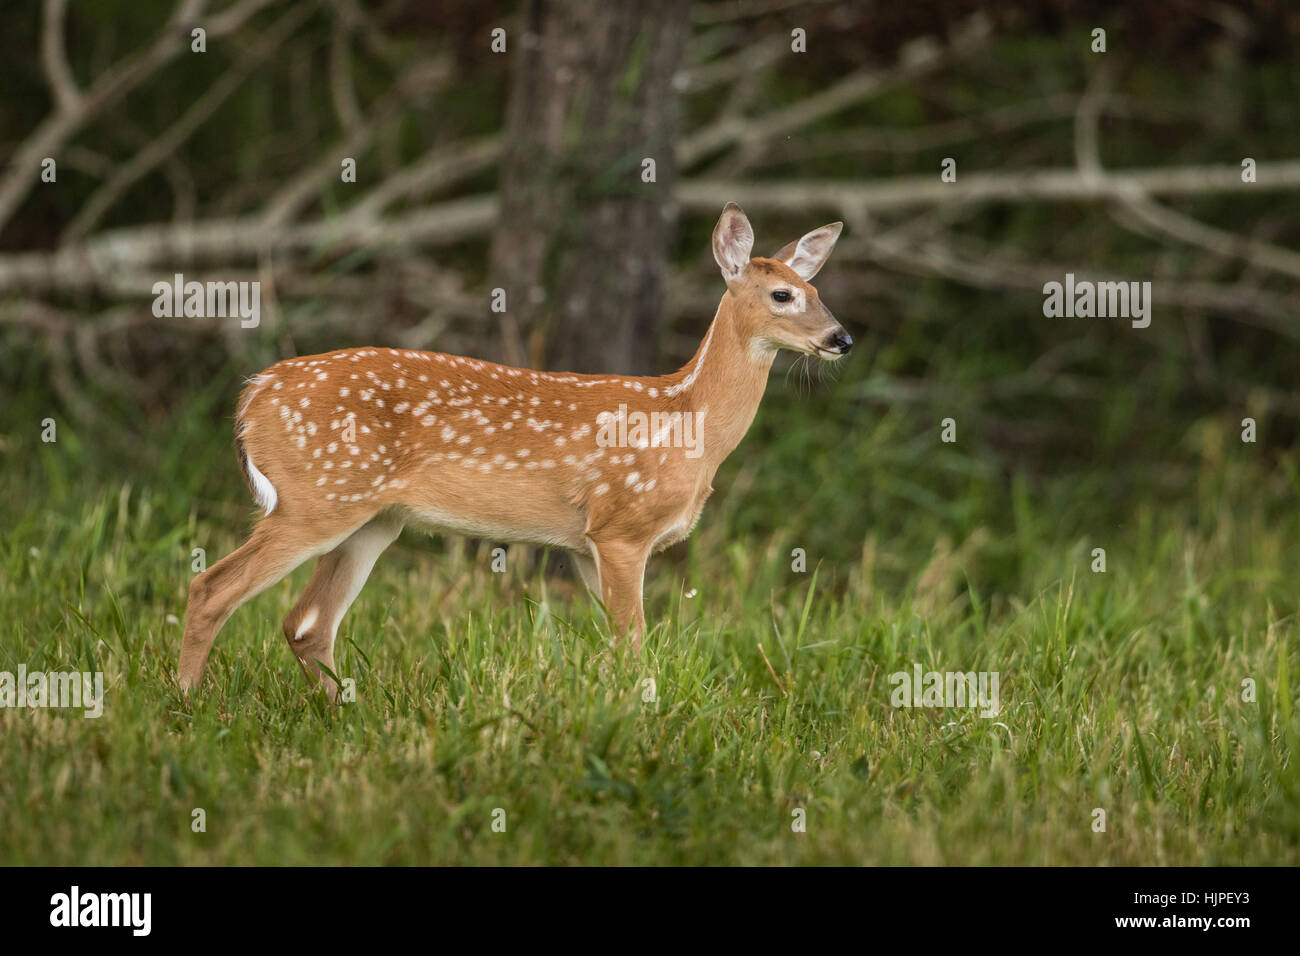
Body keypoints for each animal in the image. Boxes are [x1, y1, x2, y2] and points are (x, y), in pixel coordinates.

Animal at [178, 202, 851, 699]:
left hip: (371, 518)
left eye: (817, 289)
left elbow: (618, 647)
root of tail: (253, 396)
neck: (687, 419)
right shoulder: (622, 527)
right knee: (212, 588)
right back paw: (187, 704)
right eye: (783, 295)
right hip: (315, 498)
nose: (842, 338)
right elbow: (633, 648)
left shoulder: (586, 544)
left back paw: (344, 711)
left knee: (306, 624)